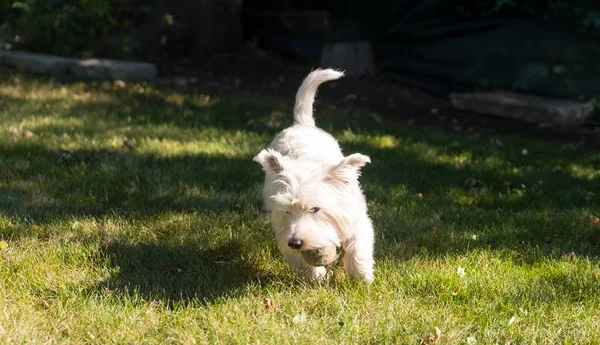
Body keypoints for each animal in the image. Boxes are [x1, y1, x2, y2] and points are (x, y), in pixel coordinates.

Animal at [254, 68, 376, 282]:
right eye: (287, 210)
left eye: (315, 209)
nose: (295, 242)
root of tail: (301, 123)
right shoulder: (284, 231)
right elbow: (299, 259)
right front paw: (316, 276)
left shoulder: (356, 218)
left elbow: (357, 247)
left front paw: (362, 277)